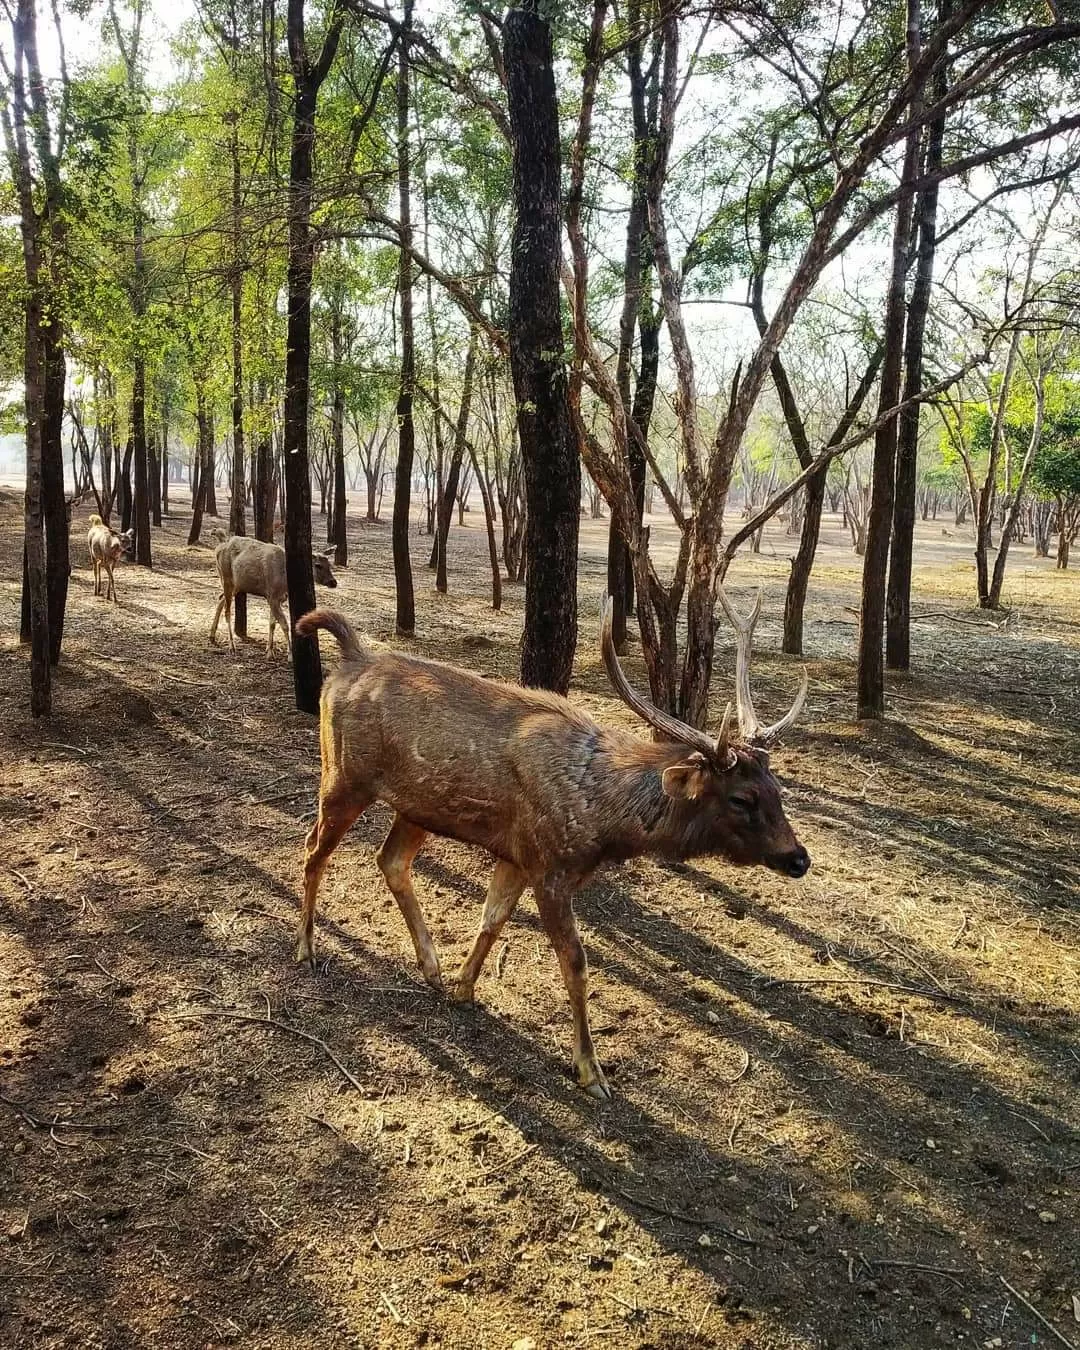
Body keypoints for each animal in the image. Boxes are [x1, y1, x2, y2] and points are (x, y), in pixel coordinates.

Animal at [295, 591, 810, 1096]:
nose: (798, 858)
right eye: (742, 798)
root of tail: (350, 660)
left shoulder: (518, 856)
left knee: (390, 859)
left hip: (417, 807)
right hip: (343, 776)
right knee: (313, 849)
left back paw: (431, 967)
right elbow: (575, 963)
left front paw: (464, 987)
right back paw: (306, 947)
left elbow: (492, 919)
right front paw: (590, 1070)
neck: (604, 824)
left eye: (777, 789)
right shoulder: (550, 867)